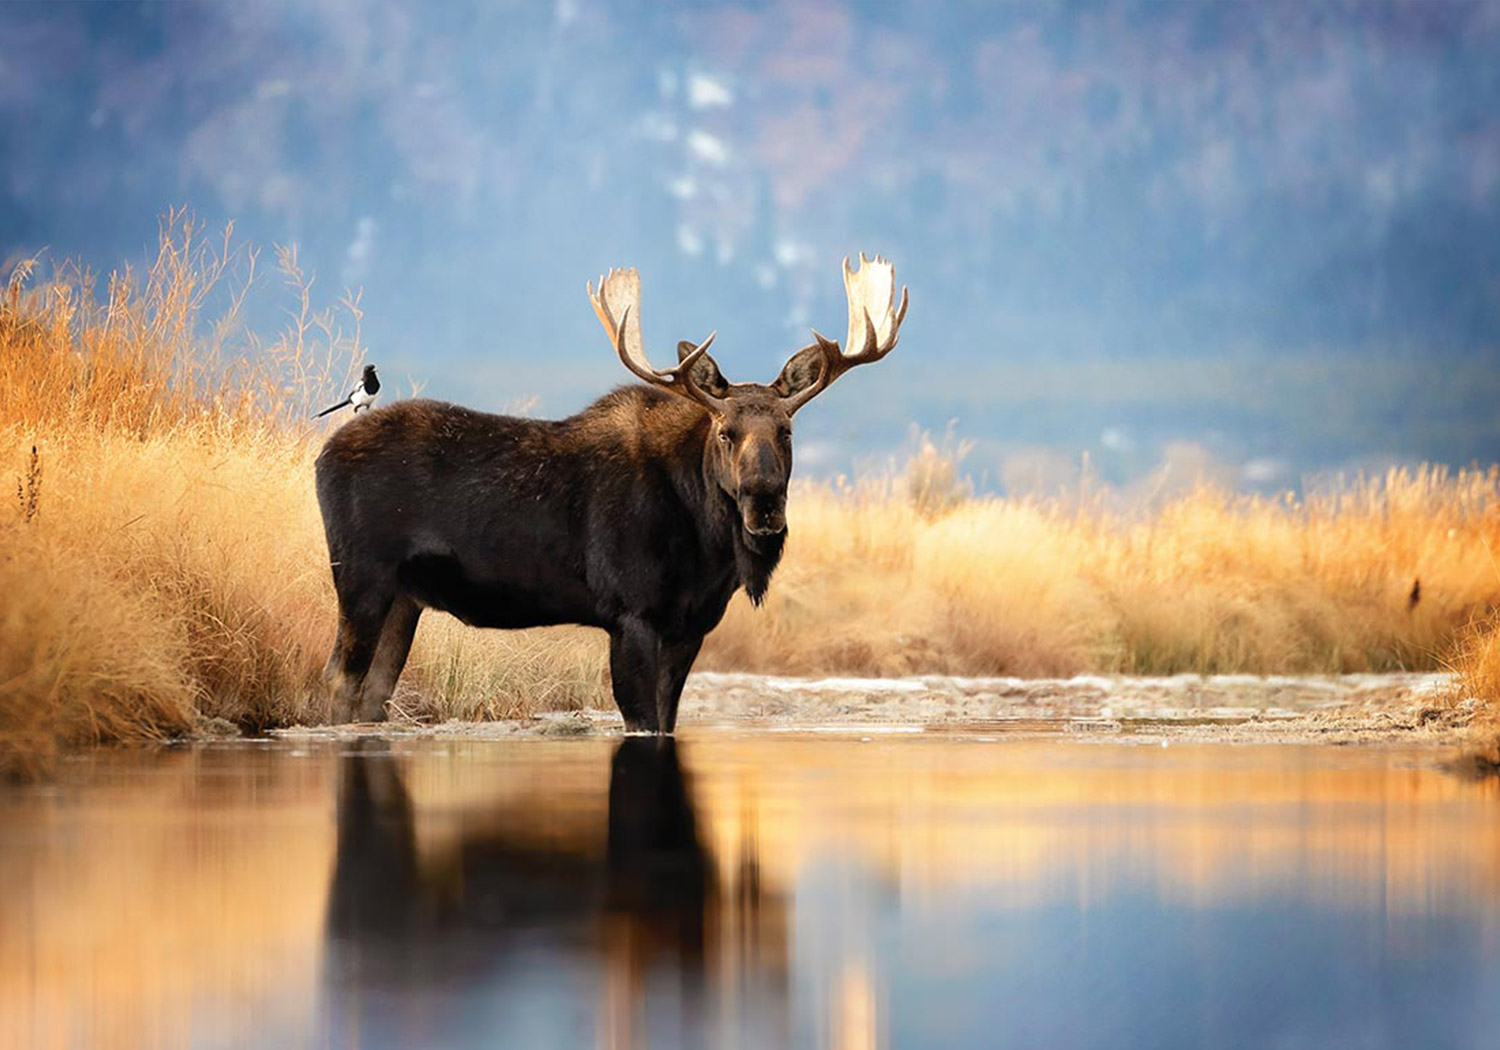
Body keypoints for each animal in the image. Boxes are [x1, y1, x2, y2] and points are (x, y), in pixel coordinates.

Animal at [313, 254, 908, 731]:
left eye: (786, 431)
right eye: (725, 432)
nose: (764, 506)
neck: (705, 545)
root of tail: (322, 456)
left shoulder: (690, 626)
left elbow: (667, 718)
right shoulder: (631, 615)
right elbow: (641, 719)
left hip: (405, 595)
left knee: (374, 690)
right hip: (362, 577)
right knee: (338, 678)